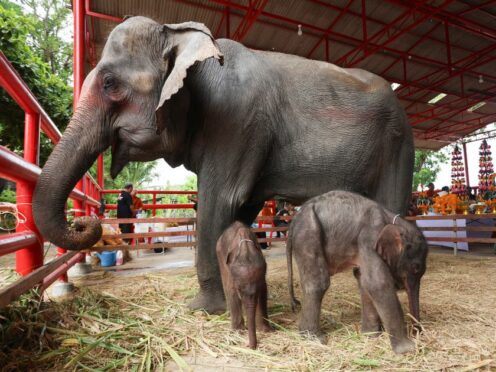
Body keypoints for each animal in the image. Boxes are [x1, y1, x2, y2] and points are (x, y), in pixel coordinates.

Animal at [33, 17, 414, 314]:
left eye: (110, 83)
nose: (87, 220)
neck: (181, 36)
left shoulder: (235, 122)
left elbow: (220, 201)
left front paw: (202, 309)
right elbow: (240, 211)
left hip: (398, 143)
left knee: (392, 207)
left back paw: (394, 286)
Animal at [288, 192, 428, 354]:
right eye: (416, 268)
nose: (417, 333)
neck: (394, 219)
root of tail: (295, 219)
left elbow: (363, 280)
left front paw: (370, 336)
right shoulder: (370, 237)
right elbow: (377, 283)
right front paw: (408, 349)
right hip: (308, 234)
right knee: (318, 283)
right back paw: (314, 339)